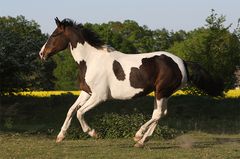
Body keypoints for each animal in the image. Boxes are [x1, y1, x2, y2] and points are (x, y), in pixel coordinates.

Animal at [39, 17, 223, 148]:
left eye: (54, 35)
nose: (42, 54)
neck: (91, 60)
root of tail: (182, 62)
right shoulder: (86, 92)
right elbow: (71, 110)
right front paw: (60, 137)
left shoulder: (99, 97)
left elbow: (79, 113)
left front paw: (93, 133)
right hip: (161, 93)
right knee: (160, 114)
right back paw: (142, 141)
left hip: (161, 92)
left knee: (157, 114)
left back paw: (138, 136)